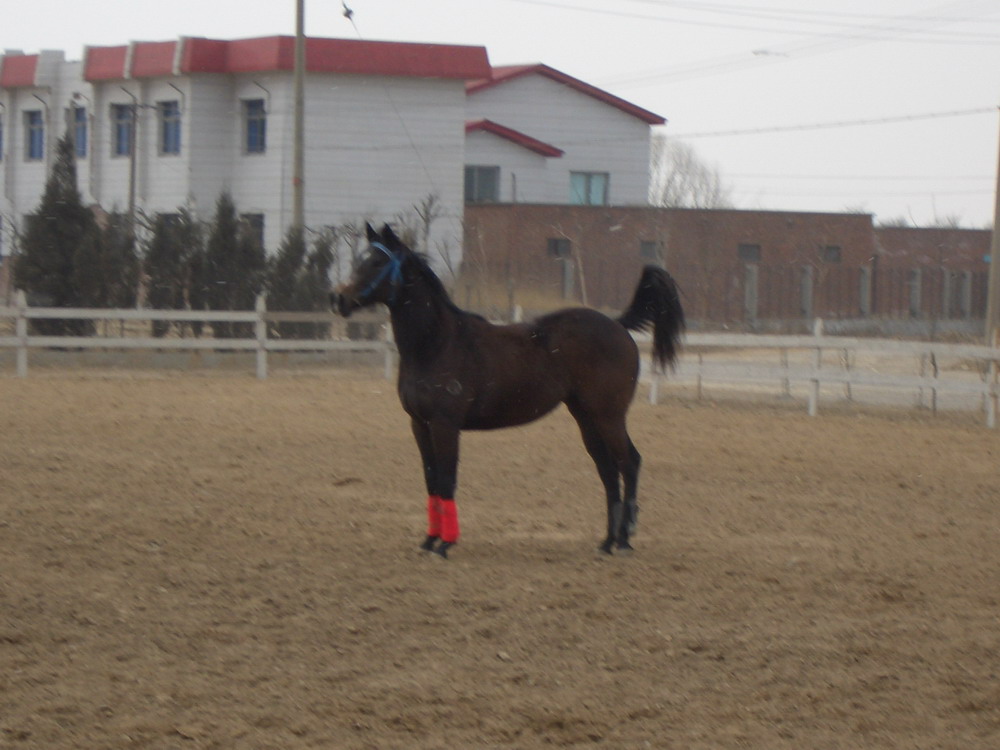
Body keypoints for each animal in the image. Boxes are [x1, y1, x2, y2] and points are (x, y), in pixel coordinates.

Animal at [332, 223, 684, 560]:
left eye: (377, 262)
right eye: (360, 258)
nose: (339, 300)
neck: (437, 343)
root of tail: (618, 325)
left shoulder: (445, 425)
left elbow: (447, 479)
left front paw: (445, 544)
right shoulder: (419, 425)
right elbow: (431, 480)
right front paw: (429, 540)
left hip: (609, 416)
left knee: (629, 463)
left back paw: (624, 539)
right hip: (586, 417)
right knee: (608, 471)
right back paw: (607, 542)